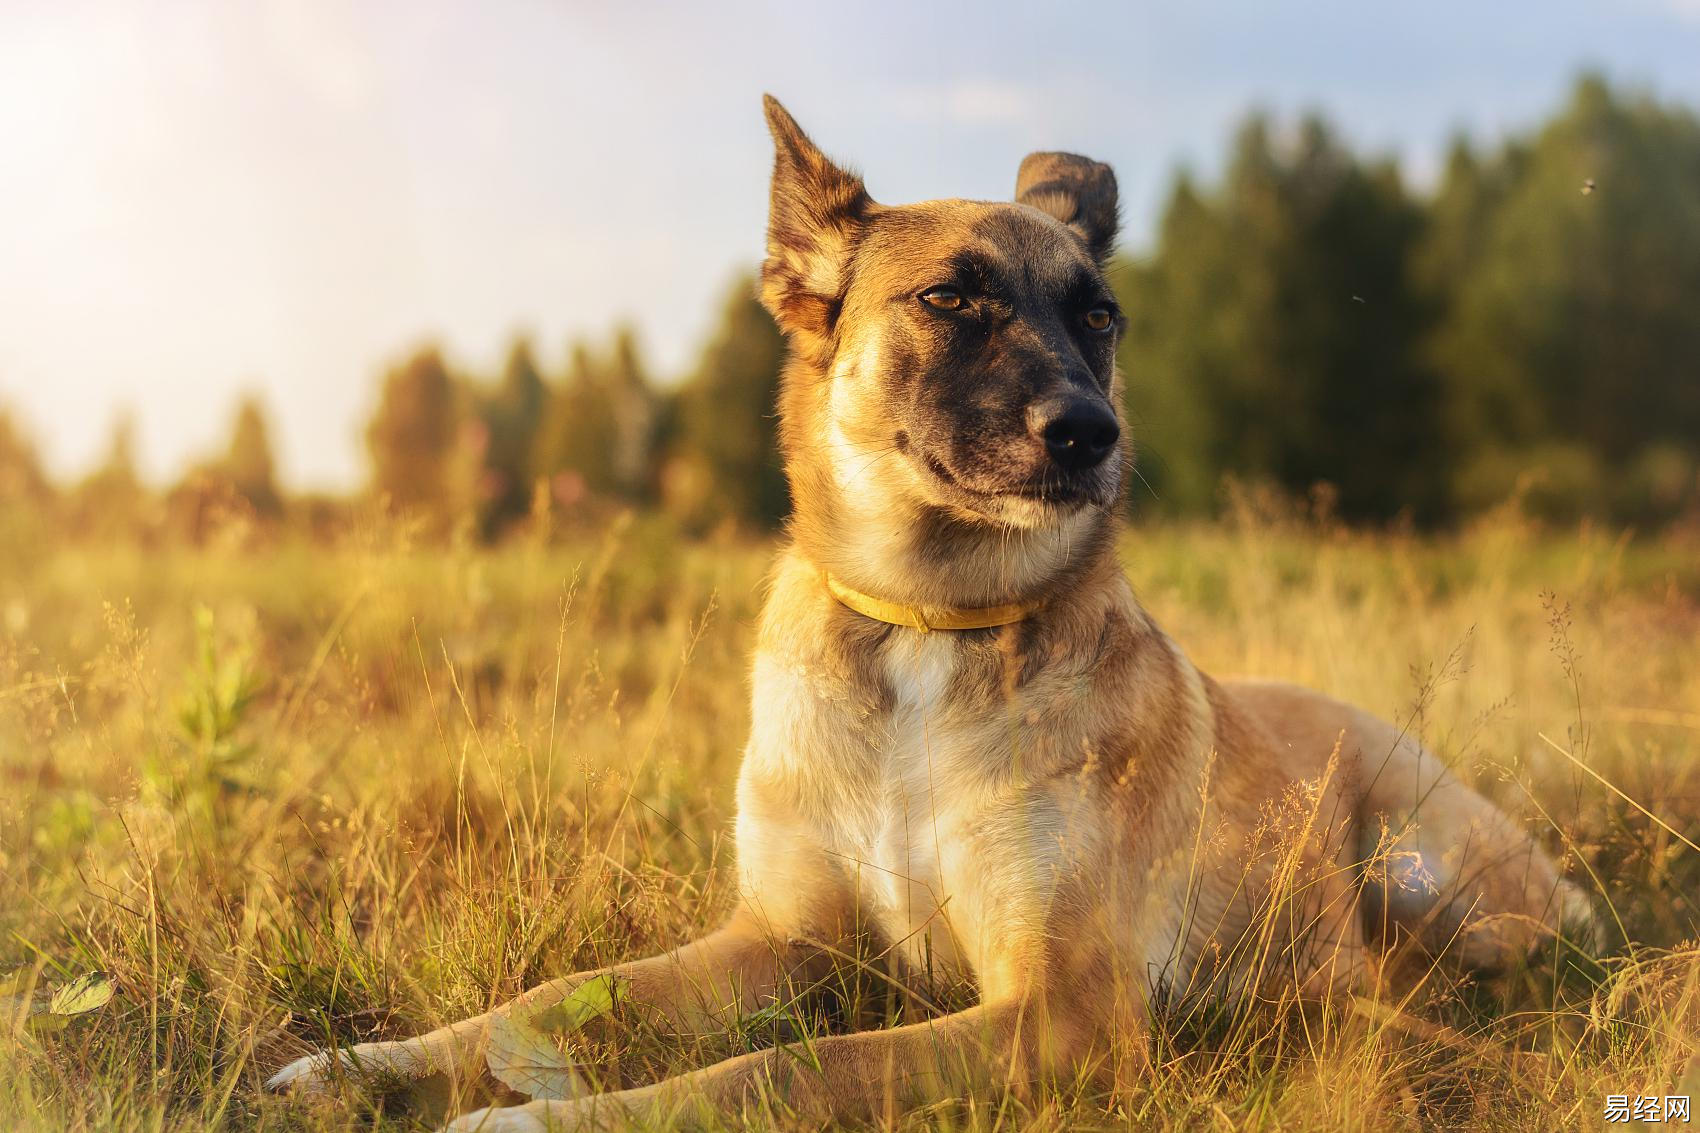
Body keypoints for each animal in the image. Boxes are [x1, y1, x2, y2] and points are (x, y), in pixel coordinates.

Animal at [268, 99, 1591, 1129]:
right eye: (951, 297)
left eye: (1097, 316)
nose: (1092, 437)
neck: (924, 624)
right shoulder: (781, 935)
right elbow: (547, 998)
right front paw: (368, 1064)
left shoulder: (1057, 1010)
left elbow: (786, 1070)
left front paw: (539, 1113)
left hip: (1431, 871)